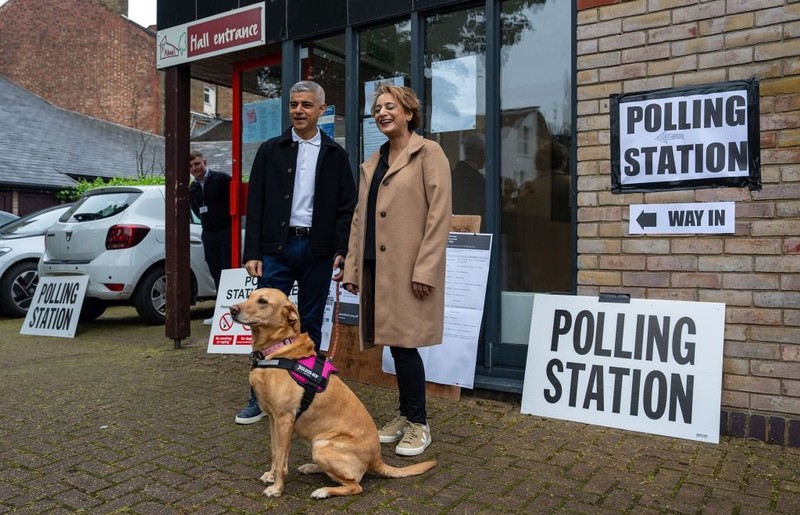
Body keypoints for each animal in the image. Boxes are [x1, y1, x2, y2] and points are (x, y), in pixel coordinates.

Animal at [228, 288, 438, 498]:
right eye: (250, 296)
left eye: (263, 301)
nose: (232, 309)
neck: (277, 350)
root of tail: (377, 459)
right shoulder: (273, 419)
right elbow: (275, 453)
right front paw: (271, 476)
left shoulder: (284, 419)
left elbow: (281, 461)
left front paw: (277, 488)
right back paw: (311, 467)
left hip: (322, 445)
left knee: (355, 485)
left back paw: (323, 491)